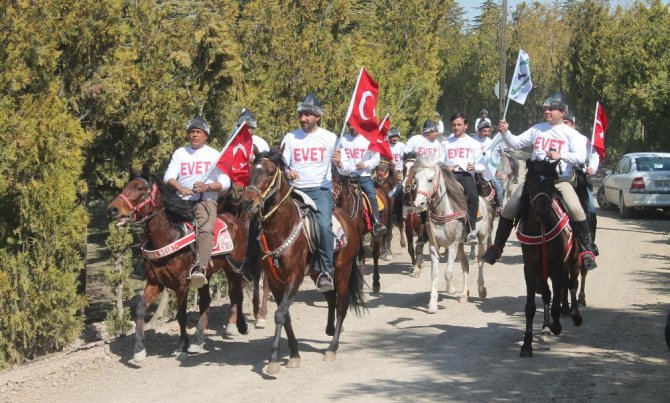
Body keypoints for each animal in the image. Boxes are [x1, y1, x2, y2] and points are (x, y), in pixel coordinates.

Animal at [106, 170, 253, 362]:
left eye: (140, 188)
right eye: (126, 186)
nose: (112, 210)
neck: (168, 236)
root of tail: (234, 220)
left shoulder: (181, 284)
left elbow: (181, 315)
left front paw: (183, 346)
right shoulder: (155, 282)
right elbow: (140, 310)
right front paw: (139, 350)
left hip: (233, 269)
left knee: (236, 294)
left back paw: (237, 326)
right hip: (205, 275)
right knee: (206, 302)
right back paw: (198, 339)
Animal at [242, 151, 368, 376]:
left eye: (270, 172)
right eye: (250, 171)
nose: (248, 202)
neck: (282, 227)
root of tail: (348, 220)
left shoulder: (295, 277)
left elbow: (280, 314)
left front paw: (274, 359)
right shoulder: (275, 281)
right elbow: (285, 315)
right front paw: (294, 354)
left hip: (342, 272)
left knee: (342, 304)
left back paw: (332, 347)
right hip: (319, 273)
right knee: (331, 298)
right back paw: (329, 329)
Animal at [406, 159, 496, 314]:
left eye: (430, 179)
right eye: (415, 180)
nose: (419, 203)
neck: (443, 212)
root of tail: (484, 201)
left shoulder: (452, 245)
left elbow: (448, 273)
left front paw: (452, 290)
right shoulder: (433, 246)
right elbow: (434, 274)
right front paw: (432, 304)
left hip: (482, 238)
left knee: (480, 261)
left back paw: (481, 290)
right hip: (461, 244)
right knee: (465, 265)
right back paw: (464, 295)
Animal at [516, 159, 584, 358]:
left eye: (551, 185)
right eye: (531, 184)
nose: (542, 213)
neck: (541, 230)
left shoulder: (557, 265)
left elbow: (558, 296)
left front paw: (557, 325)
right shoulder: (531, 268)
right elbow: (531, 307)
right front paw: (527, 345)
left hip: (572, 261)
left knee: (572, 284)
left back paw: (574, 315)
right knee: (549, 292)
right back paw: (546, 326)